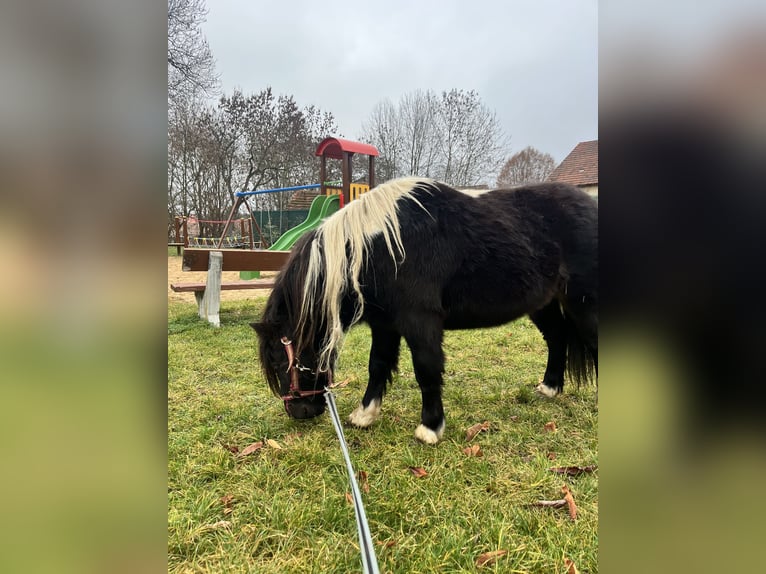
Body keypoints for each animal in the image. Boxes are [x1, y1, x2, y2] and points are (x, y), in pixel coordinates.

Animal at [251, 177, 597, 444]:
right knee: (557, 339)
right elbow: (377, 365)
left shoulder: (421, 322)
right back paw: (549, 388)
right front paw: (365, 415)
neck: (381, 247)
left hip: (583, 303)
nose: (300, 412)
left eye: (279, 359)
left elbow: (426, 370)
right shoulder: (385, 325)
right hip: (544, 304)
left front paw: (430, 428)